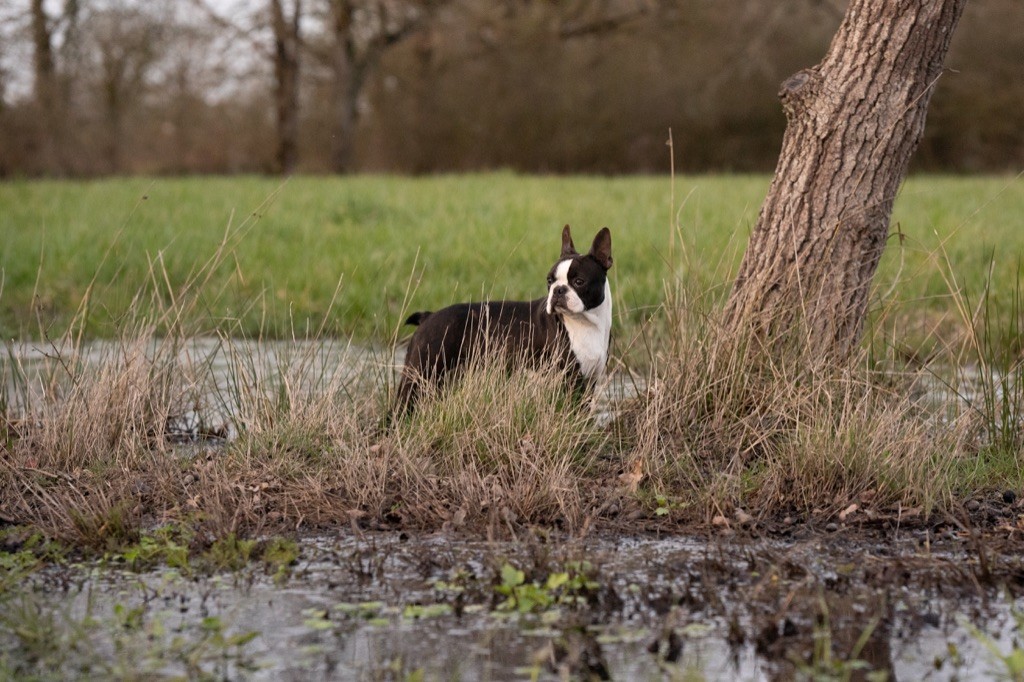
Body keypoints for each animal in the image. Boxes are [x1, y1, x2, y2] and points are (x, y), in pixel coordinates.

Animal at [395, 225, 610, 411]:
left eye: (579, 281)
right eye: (549, 281)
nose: (558, 290)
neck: (587, 324)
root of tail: (428, 317)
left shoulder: (590, 380)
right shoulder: (571, 379)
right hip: (420, 372)